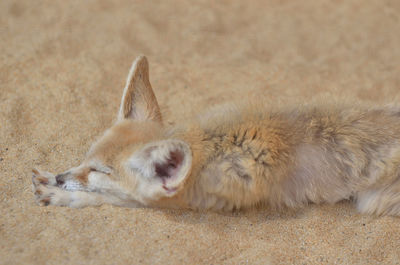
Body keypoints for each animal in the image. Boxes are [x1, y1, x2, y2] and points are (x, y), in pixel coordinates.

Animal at [32, 55, 400, 214]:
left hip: (372, 201)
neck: (208, 144)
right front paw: (53, 179)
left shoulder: (195, 201)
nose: (63, 177)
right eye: (87, 158)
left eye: (101, 172)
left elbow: (114, 198)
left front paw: (65, 195)